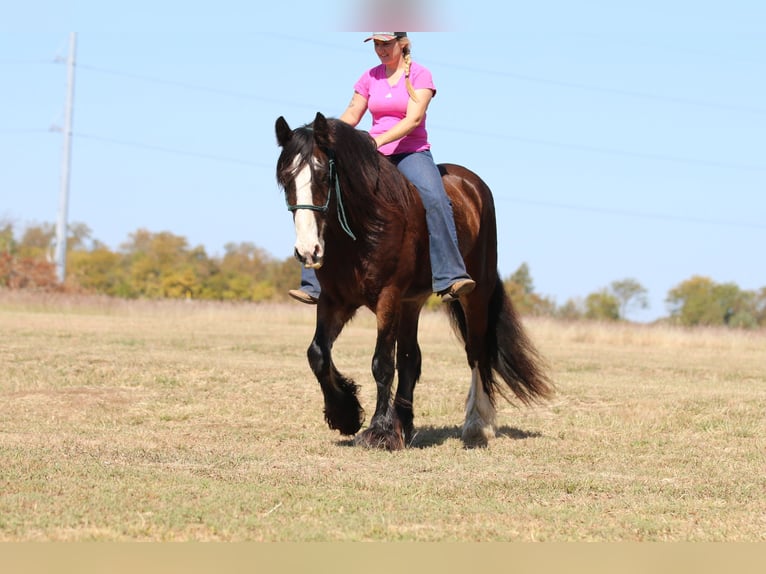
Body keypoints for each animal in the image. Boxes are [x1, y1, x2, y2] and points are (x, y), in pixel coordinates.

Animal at [280, 112, 556, 452]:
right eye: (286, 180)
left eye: (322, 175)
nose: (308, 251)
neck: (363, 228)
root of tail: (472, 184)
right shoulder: (335, 301)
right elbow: (318, 354)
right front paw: (345, 414)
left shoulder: (387, 298)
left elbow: (382, 363)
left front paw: (378, 431)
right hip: (411, 303)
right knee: (411, 359)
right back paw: (405, 427)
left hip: (474, 296)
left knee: (476, 352)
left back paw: (477, 425)